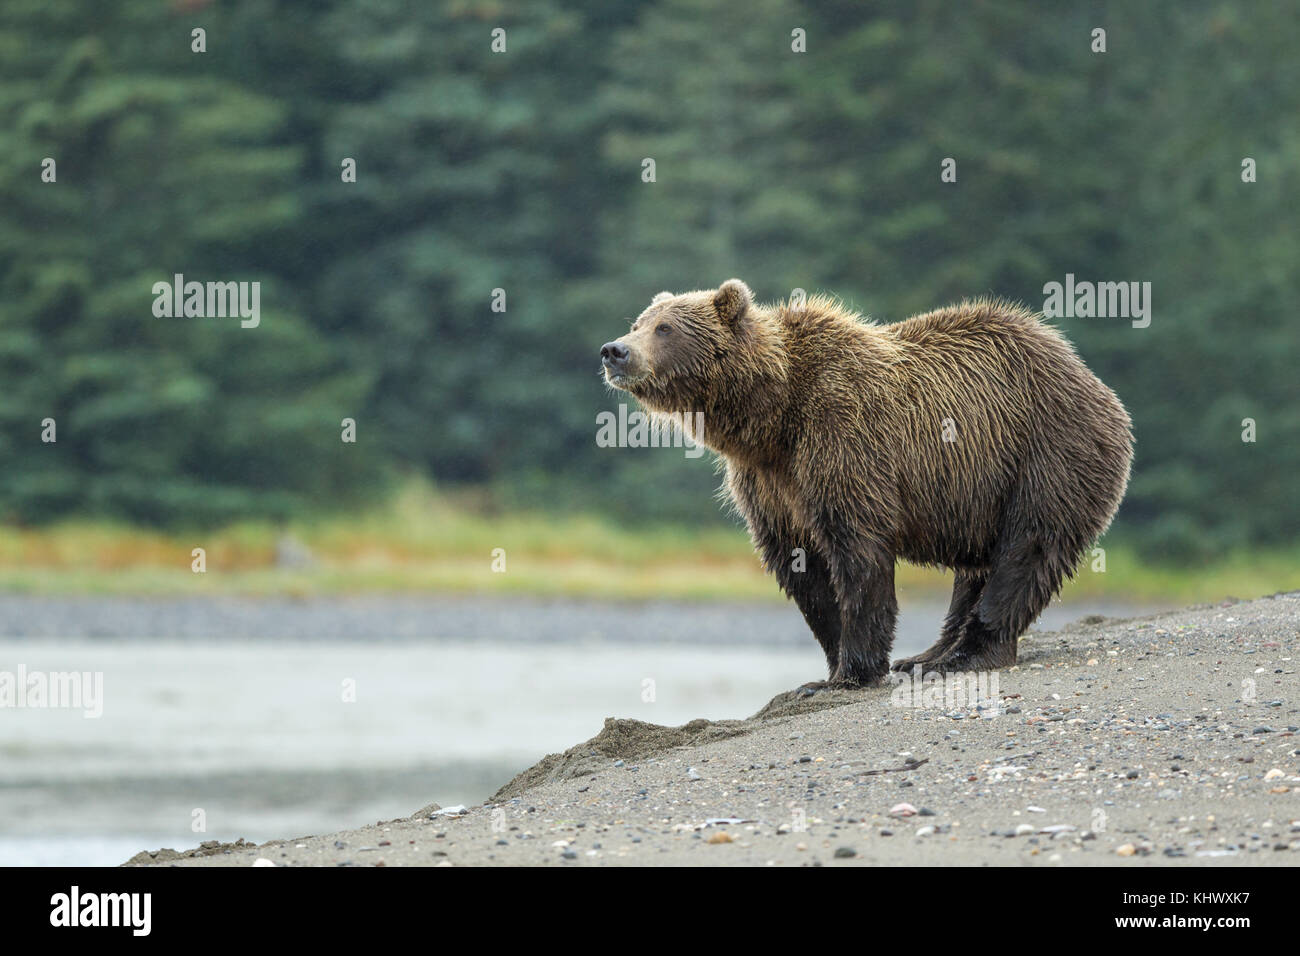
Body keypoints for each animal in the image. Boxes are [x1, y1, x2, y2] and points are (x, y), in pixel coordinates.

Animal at [600, 279, 1133, 691]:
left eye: (665, 328)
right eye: (638, 321)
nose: (614, 350)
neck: (771, 417)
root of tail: (1095, 382)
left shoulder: (843, 439)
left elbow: (856, 551)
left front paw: (854, 671)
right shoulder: (768, 482)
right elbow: (801, 567)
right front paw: (830, 666)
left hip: (1049, 453)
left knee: (1027, 549)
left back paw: (968, 653)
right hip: (981, 489)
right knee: (977, 566)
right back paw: (929, 653)